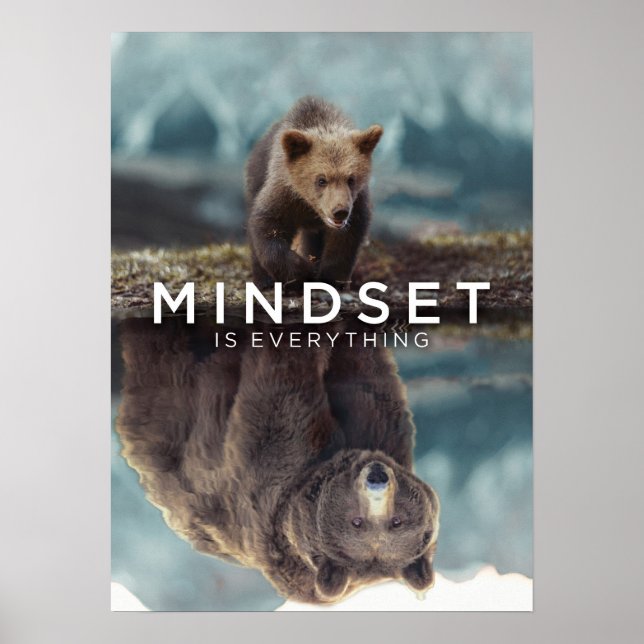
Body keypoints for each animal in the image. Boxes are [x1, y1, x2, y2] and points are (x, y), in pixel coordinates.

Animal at [116, 318, 440, 604]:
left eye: (394, 521)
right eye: (357, 522)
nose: (377, 477)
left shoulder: (272, 475)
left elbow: (278, 392)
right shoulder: (378, 433)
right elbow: (364, 377)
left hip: (167, 427)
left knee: (161, 363)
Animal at [245, 96, 383, 290]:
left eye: (351, 179)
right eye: (321, 180)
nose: (340, 211)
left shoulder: (357, 203)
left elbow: (347, 240)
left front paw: (331, 278)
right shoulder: (285, 194)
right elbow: (268, 226)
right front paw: (301, 273)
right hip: (256, 175)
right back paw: (264, 280)